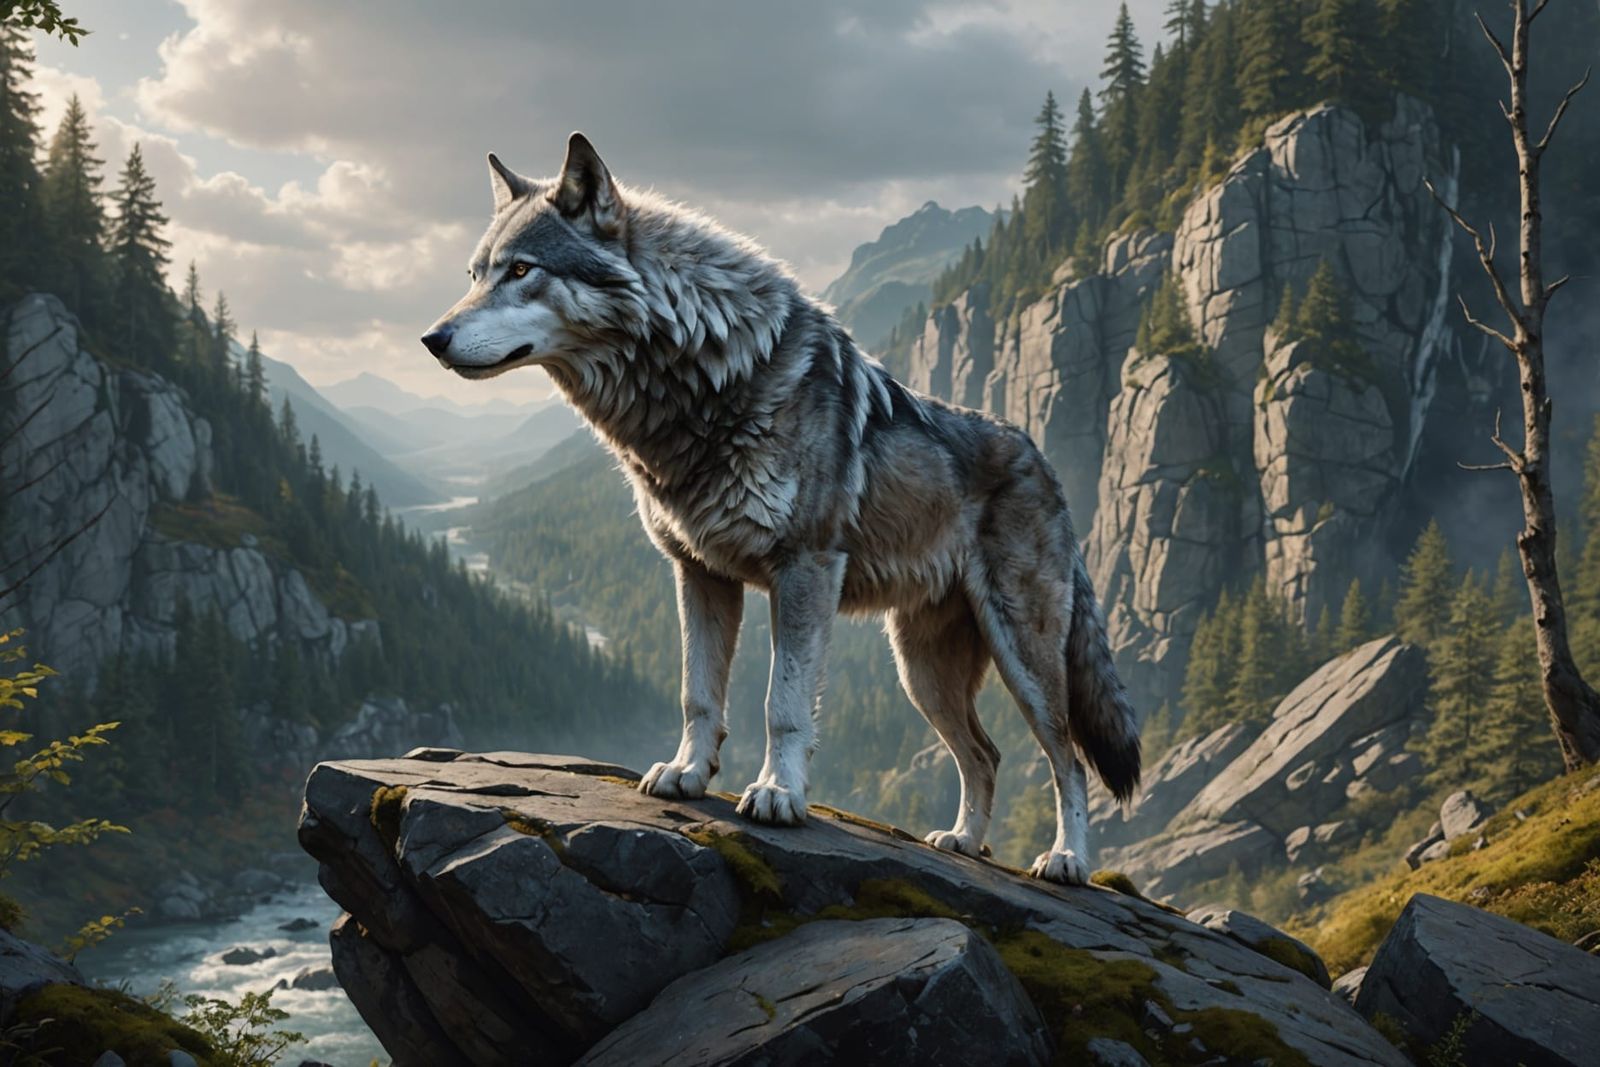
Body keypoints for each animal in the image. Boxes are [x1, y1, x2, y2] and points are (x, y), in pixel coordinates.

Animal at [422, 133, 1140, 884]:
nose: (431, 339)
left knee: (1068, 759)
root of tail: (1043, 461)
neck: (702, 379)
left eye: (521, 270)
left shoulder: (804, 570)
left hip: (1023, 657)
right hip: (922, 672)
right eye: (475, 274)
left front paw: (777, 793)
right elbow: (699, 693)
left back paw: (1066, 859)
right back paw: (963, 840)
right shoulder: (698, 572)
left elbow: (783, 704)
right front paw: (686, 773)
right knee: (986, 753)